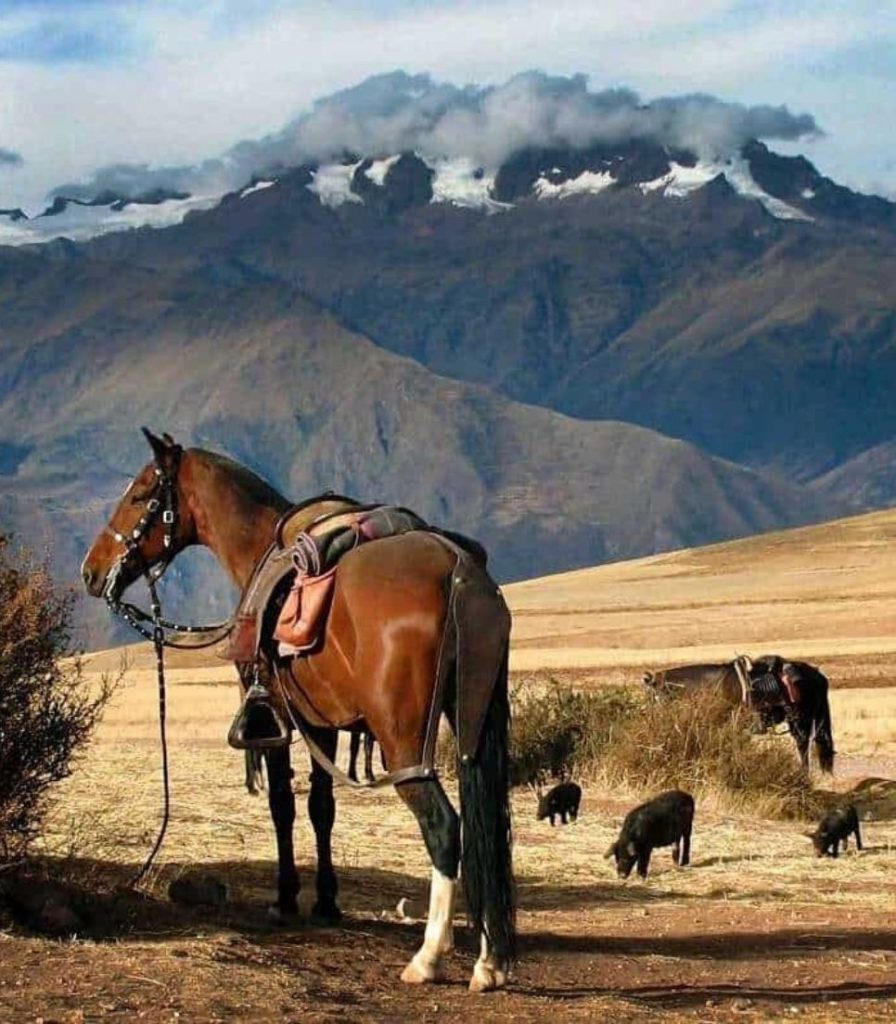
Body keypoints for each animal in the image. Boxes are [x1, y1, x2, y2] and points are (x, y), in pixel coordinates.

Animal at [80, 430, 516, 991]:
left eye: (139, 495)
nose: (92, 572)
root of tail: (458, 571)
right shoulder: (320, 723)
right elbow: (322, 808)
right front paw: (326, 901)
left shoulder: (278, 723)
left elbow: (283, 805)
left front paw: (286, 898)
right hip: (474, 725)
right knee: (489, 835)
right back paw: (490, 961)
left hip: (405, 745)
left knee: (444, 829)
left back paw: (428, 957)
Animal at [643, 651, 835, 770]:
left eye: (655, 697)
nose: (652, 724)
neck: (714, 686)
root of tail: (818, 675)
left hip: (802, 721)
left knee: (803, 746)